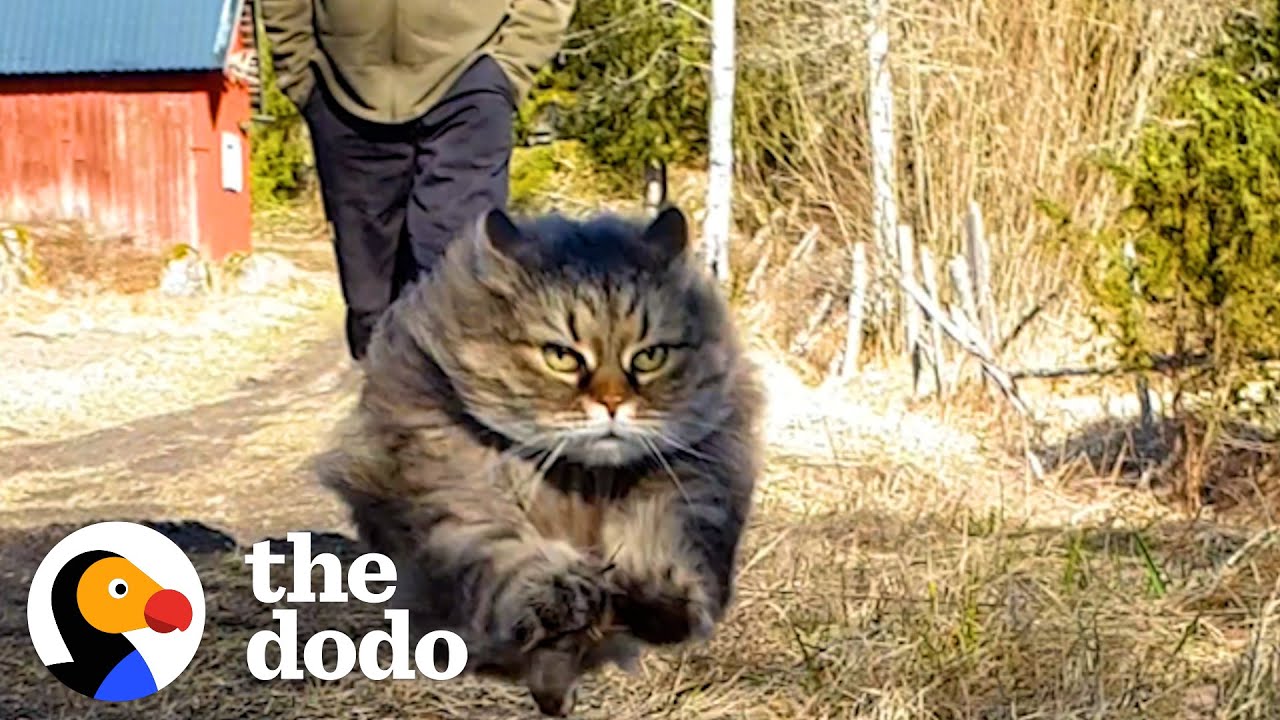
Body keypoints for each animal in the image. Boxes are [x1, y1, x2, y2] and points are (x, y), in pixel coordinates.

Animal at [314, 204, 762, 712]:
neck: (581, 483)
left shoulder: (693, 480)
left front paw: (655, 593)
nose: (613, 403)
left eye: (650, 358)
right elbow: (506, 550)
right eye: (561, 357)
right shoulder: (450, 492)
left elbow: (659, 533)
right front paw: (560, 593)